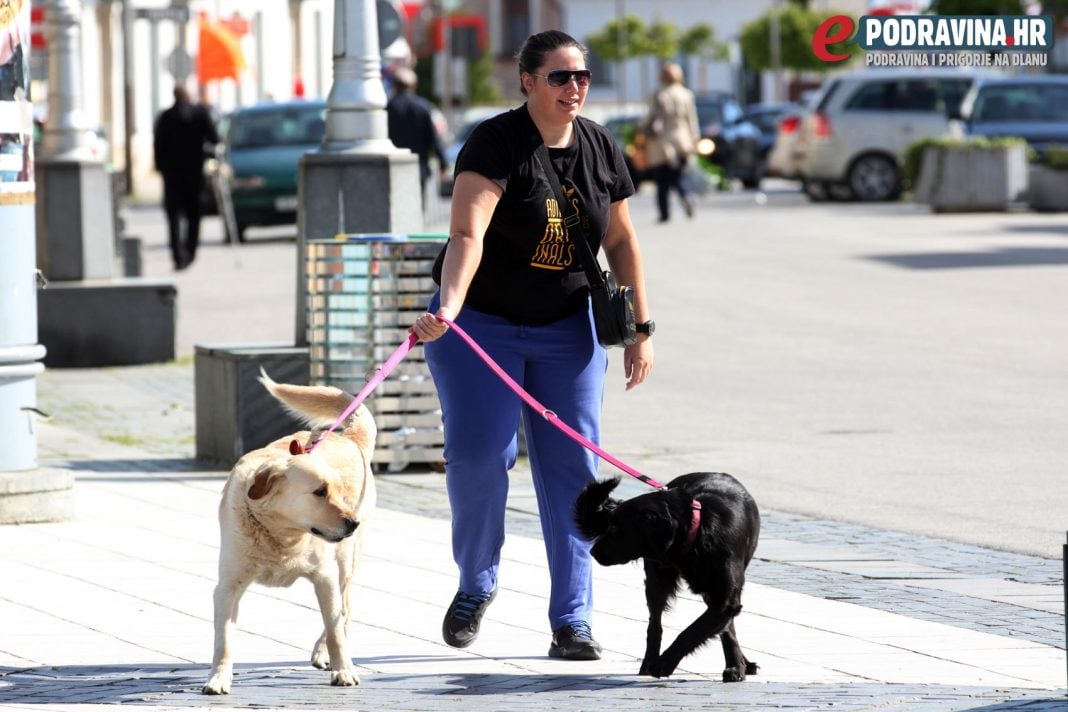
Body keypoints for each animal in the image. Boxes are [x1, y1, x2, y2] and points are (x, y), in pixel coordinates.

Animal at [576, 473, 760, 678]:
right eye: (609, 525)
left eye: (616, 528)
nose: (593, 551)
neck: (698, 529)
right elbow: (696, 630)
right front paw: (661, 663)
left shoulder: (725, 598)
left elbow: (694, 631)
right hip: (657, 583)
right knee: (654, 626)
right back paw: (648, 662)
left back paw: (738, 664)